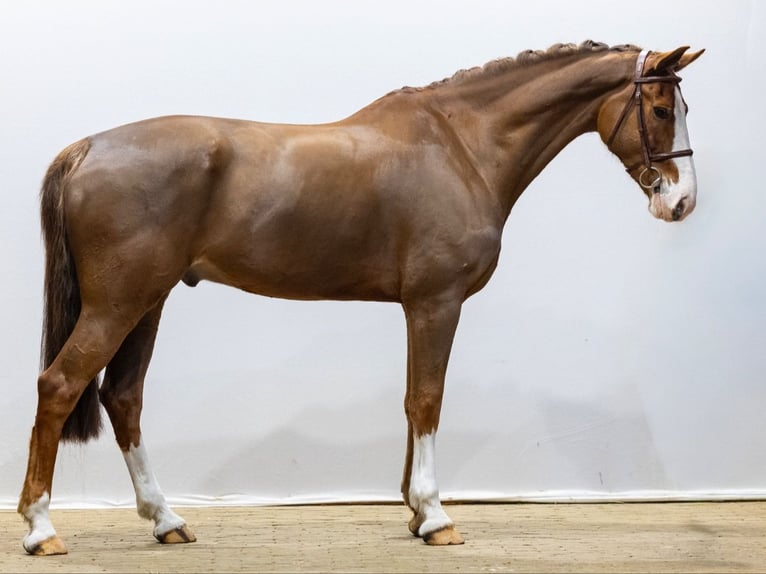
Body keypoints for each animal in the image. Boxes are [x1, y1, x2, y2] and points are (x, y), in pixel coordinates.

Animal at [18, 41, 703, 555]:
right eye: (660, 107)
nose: (681, 202)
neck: (462, 146)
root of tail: (88, 147)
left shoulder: (418, 306)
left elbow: (411, 399)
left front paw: (415, 514)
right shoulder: (437, 302)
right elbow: (428, 399)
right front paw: (436, 518)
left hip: (148, 302)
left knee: (123, 397)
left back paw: (167, 520)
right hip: (117, 305)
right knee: (60, 386)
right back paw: (42, 529)